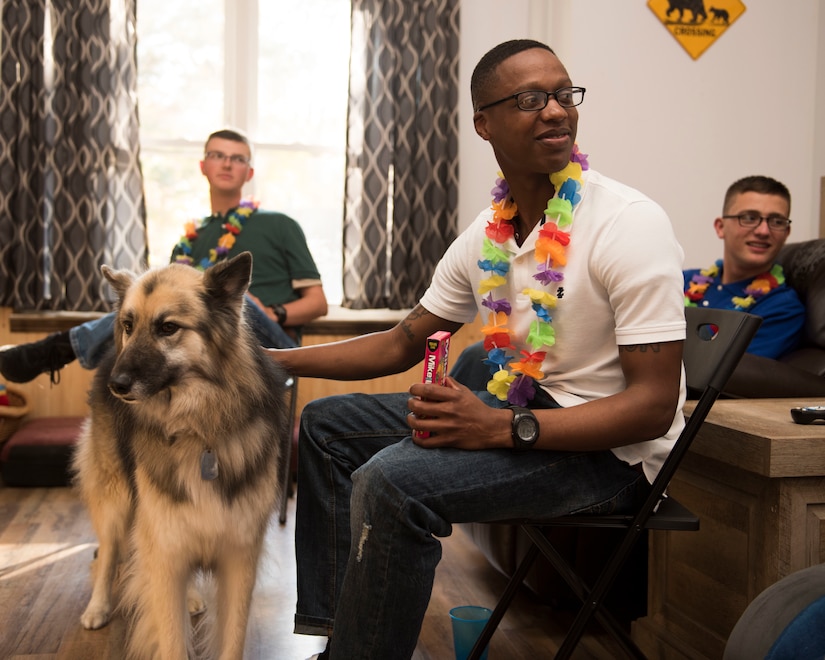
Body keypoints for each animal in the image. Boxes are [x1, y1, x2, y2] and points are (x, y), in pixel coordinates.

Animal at [71, 253, 290, 660]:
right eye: (128, 325)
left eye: (168, 328)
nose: (116, 384)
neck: (198, 429)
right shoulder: (165, 553)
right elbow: (171, 638)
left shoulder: (238, 558)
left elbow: (232, 638)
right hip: (116, 499)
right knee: (107, 554)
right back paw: (97, 607)